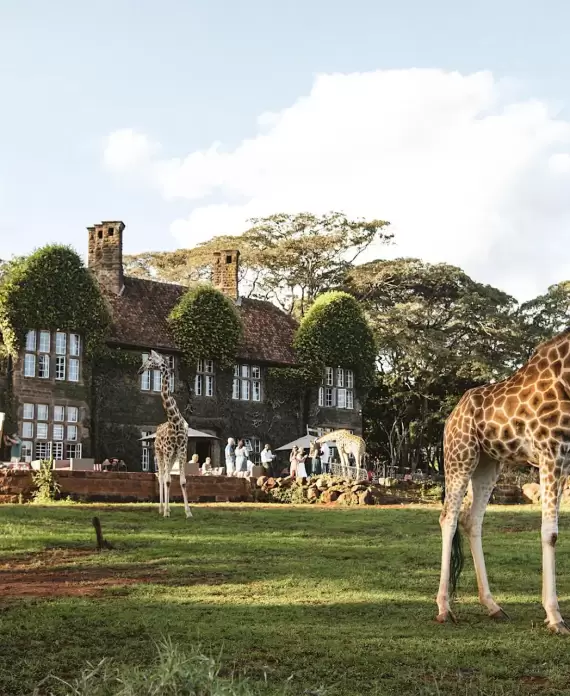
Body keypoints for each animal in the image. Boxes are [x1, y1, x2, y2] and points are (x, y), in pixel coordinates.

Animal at [138, 350, 193, 519]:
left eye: (149, 359)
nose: (140, 370)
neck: (174, 420)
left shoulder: (182, 449)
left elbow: (182, 481)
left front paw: (188, 512)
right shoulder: (167, 450)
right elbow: (167, 480)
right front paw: (167, 512)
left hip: (172, 455)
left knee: (165, 476)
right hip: (159, 453)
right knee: (162, 477)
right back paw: (162, 508)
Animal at [437, 329, 570, 635]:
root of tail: (451, 417)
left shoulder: (566, 460)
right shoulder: (550, 453)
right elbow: (550, 533)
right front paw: (555, 617)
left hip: (488, 463)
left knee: (472, 520)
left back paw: (493, 606)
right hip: (460, 454)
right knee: (448, 518)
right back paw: (444, 608)